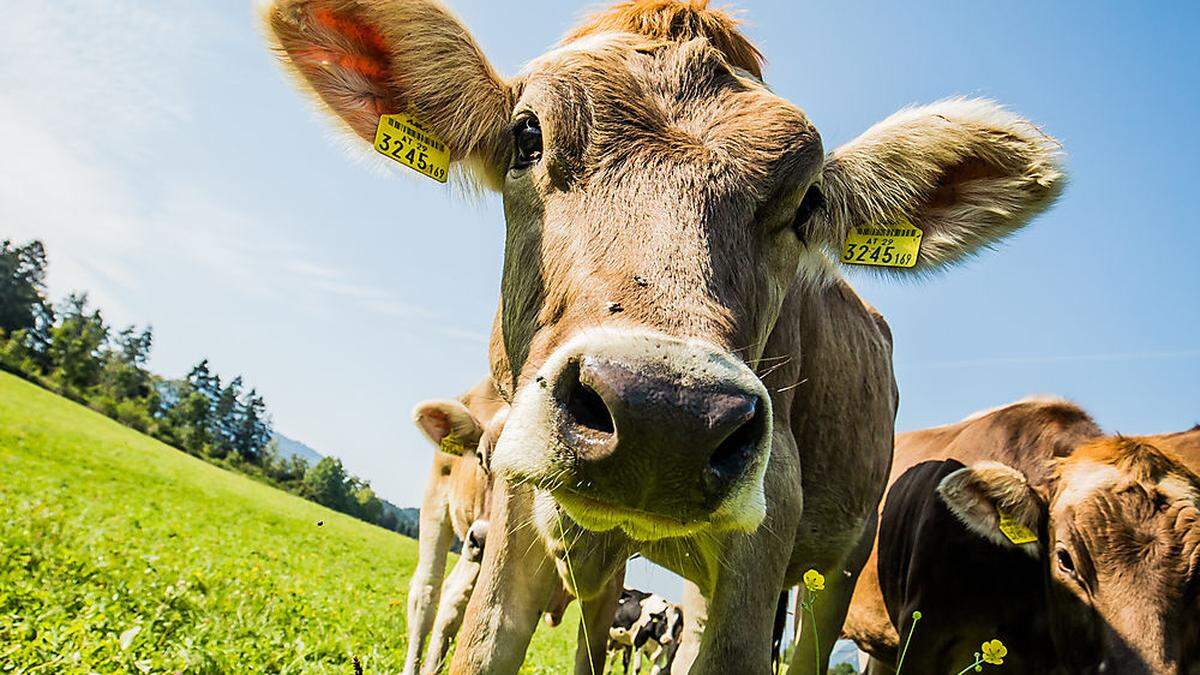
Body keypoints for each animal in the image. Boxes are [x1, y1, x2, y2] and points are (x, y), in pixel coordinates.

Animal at [262, 2, 1060, 667]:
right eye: (527, 135)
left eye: (808, 203)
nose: (667, 415)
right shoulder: (520, 502)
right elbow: (487, 642)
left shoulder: (771, 521)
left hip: (836, 563)